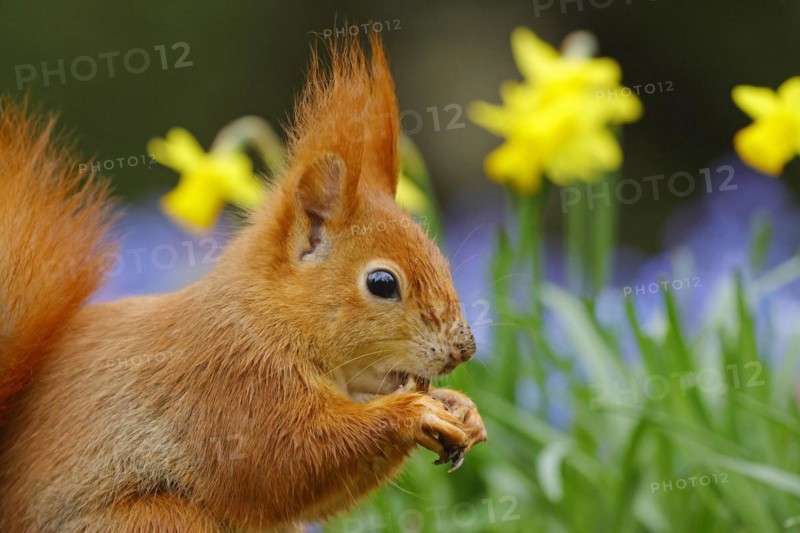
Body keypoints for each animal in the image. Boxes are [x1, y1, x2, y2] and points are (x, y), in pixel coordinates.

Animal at [0, 34, 487, 532]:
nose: (463, 348)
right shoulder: (234, 380)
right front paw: (414, 412)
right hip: (157, 518)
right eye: (382, 283)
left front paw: (461, 408)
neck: (269, 314)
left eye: (439, 257)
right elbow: (283, 461)